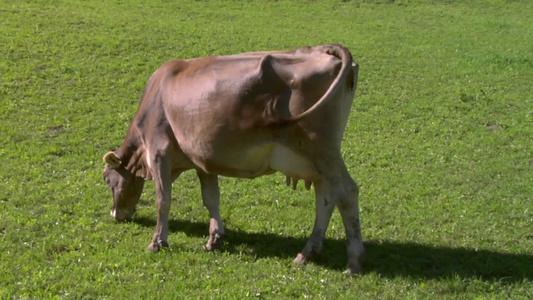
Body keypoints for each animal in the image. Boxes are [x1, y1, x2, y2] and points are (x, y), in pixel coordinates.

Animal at [102, 44, 364, 274]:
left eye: (107, 179)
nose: (115, 214)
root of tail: (321, 49)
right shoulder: (202, 159)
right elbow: (211, 198)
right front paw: (215, 238)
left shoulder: (159, 153)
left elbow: (163, 200)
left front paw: (158, 242)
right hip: (317, 161)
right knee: (326, 198)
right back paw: (307, 253)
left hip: (322, 149)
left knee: (347, 193)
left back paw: (354, 262)